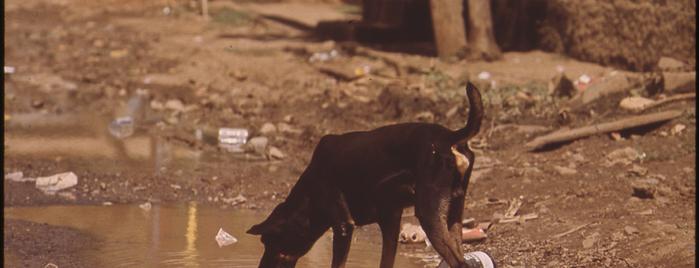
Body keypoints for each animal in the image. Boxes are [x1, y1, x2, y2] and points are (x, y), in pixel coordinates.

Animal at [249, 82, 484, 266]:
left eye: (267, 242)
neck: (308, 198)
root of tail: (450, 137)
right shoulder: (390, 220)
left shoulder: (343, 226)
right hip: (454, 212)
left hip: (429, 214)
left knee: (461, 263)